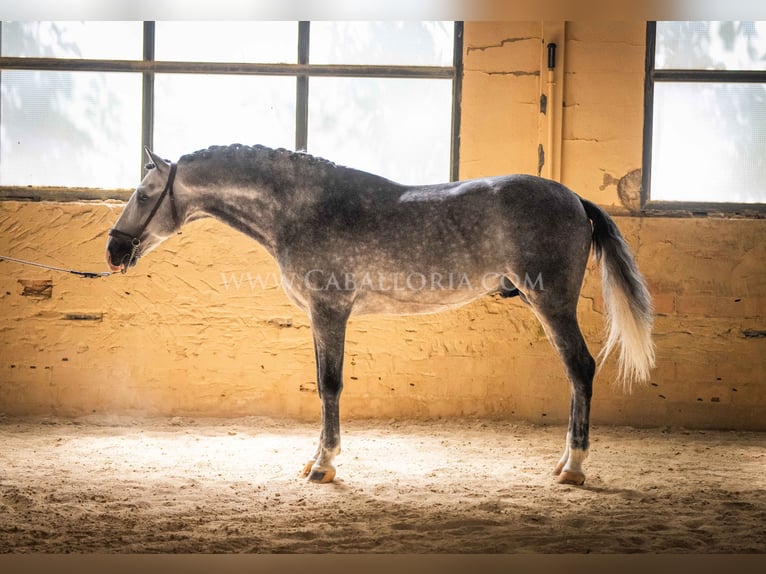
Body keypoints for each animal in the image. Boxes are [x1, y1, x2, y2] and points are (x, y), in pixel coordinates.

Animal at [106, 146, 656, 488]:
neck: (301, 209)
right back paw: (563, 462)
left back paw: (574, 468)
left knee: (580, 369)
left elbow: (329, 386)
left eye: (142, 194)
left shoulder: (330, 311)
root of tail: (574, 198)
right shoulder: (319, 317)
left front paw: (324, 466)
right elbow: (320, 382)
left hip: (552, 303)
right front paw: (315, 458)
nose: (114, 251)